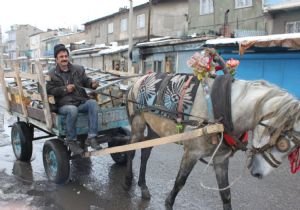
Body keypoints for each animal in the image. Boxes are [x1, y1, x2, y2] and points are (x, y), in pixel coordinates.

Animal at [122, 72, 300, 210]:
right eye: (283, 145)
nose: (257, 173)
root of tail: (137, 80)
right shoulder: (192, 153)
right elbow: (179, 182)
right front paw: (168, 202)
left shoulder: (221, 158)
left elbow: (225, 194)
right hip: (138, 124)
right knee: (131, 150)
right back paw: (128, 180)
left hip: (155, 129)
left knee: (145, 153)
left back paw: (143, 186)